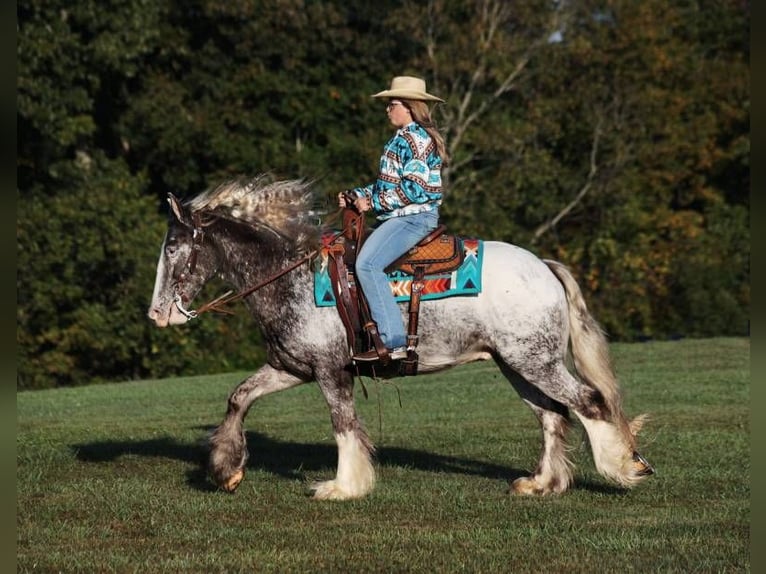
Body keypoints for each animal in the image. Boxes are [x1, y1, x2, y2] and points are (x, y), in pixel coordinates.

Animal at [147, 175, 654, 500]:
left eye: (172, 248)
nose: (157, 314)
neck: (291, 278)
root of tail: (544, 267)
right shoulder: (292, 367)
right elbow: (239, 397)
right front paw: (226, 471)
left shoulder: (331, 371)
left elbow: (344, 426)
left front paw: (343, 486)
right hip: (517, 364)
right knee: (552, 415)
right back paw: (542, 483)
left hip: (536, 362)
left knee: (588, 402)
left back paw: (622, 467)